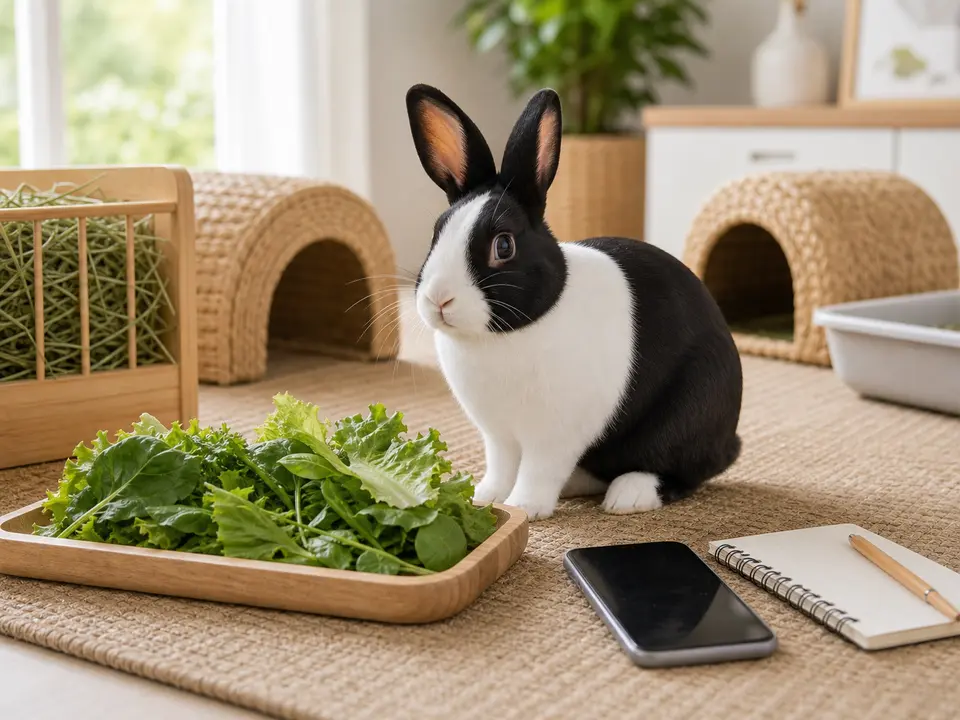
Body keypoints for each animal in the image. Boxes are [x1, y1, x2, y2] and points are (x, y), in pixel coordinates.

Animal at [405, 83, 743, 520]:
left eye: (503, 245)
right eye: (437, 233)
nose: (439, 299)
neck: (501, 336)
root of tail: (730, 438)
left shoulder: (554, 435)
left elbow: (538, 469)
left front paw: (525, 507)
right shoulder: (498, 435)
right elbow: (502, 465)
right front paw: (487, 497)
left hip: (690, 413)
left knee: (681, 469)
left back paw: (629, 496)